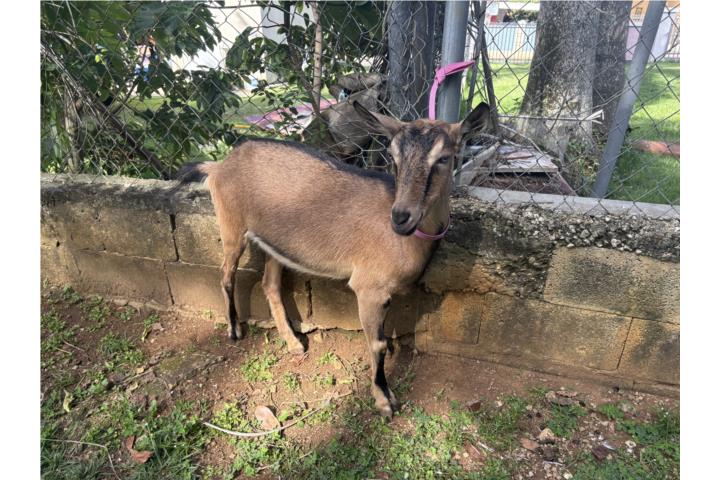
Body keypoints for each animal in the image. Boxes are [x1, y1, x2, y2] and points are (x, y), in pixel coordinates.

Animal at [176, 101, 491, 417]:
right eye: (393, 156)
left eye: (444, 158)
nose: (401, 217)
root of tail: (219, 166)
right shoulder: (368, 288)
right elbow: (376, 344)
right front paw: (384, 400)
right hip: (231, 226)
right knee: (226, 274)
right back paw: (234, 330)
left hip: (276, 244)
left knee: (269, 285)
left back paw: (293, 342)